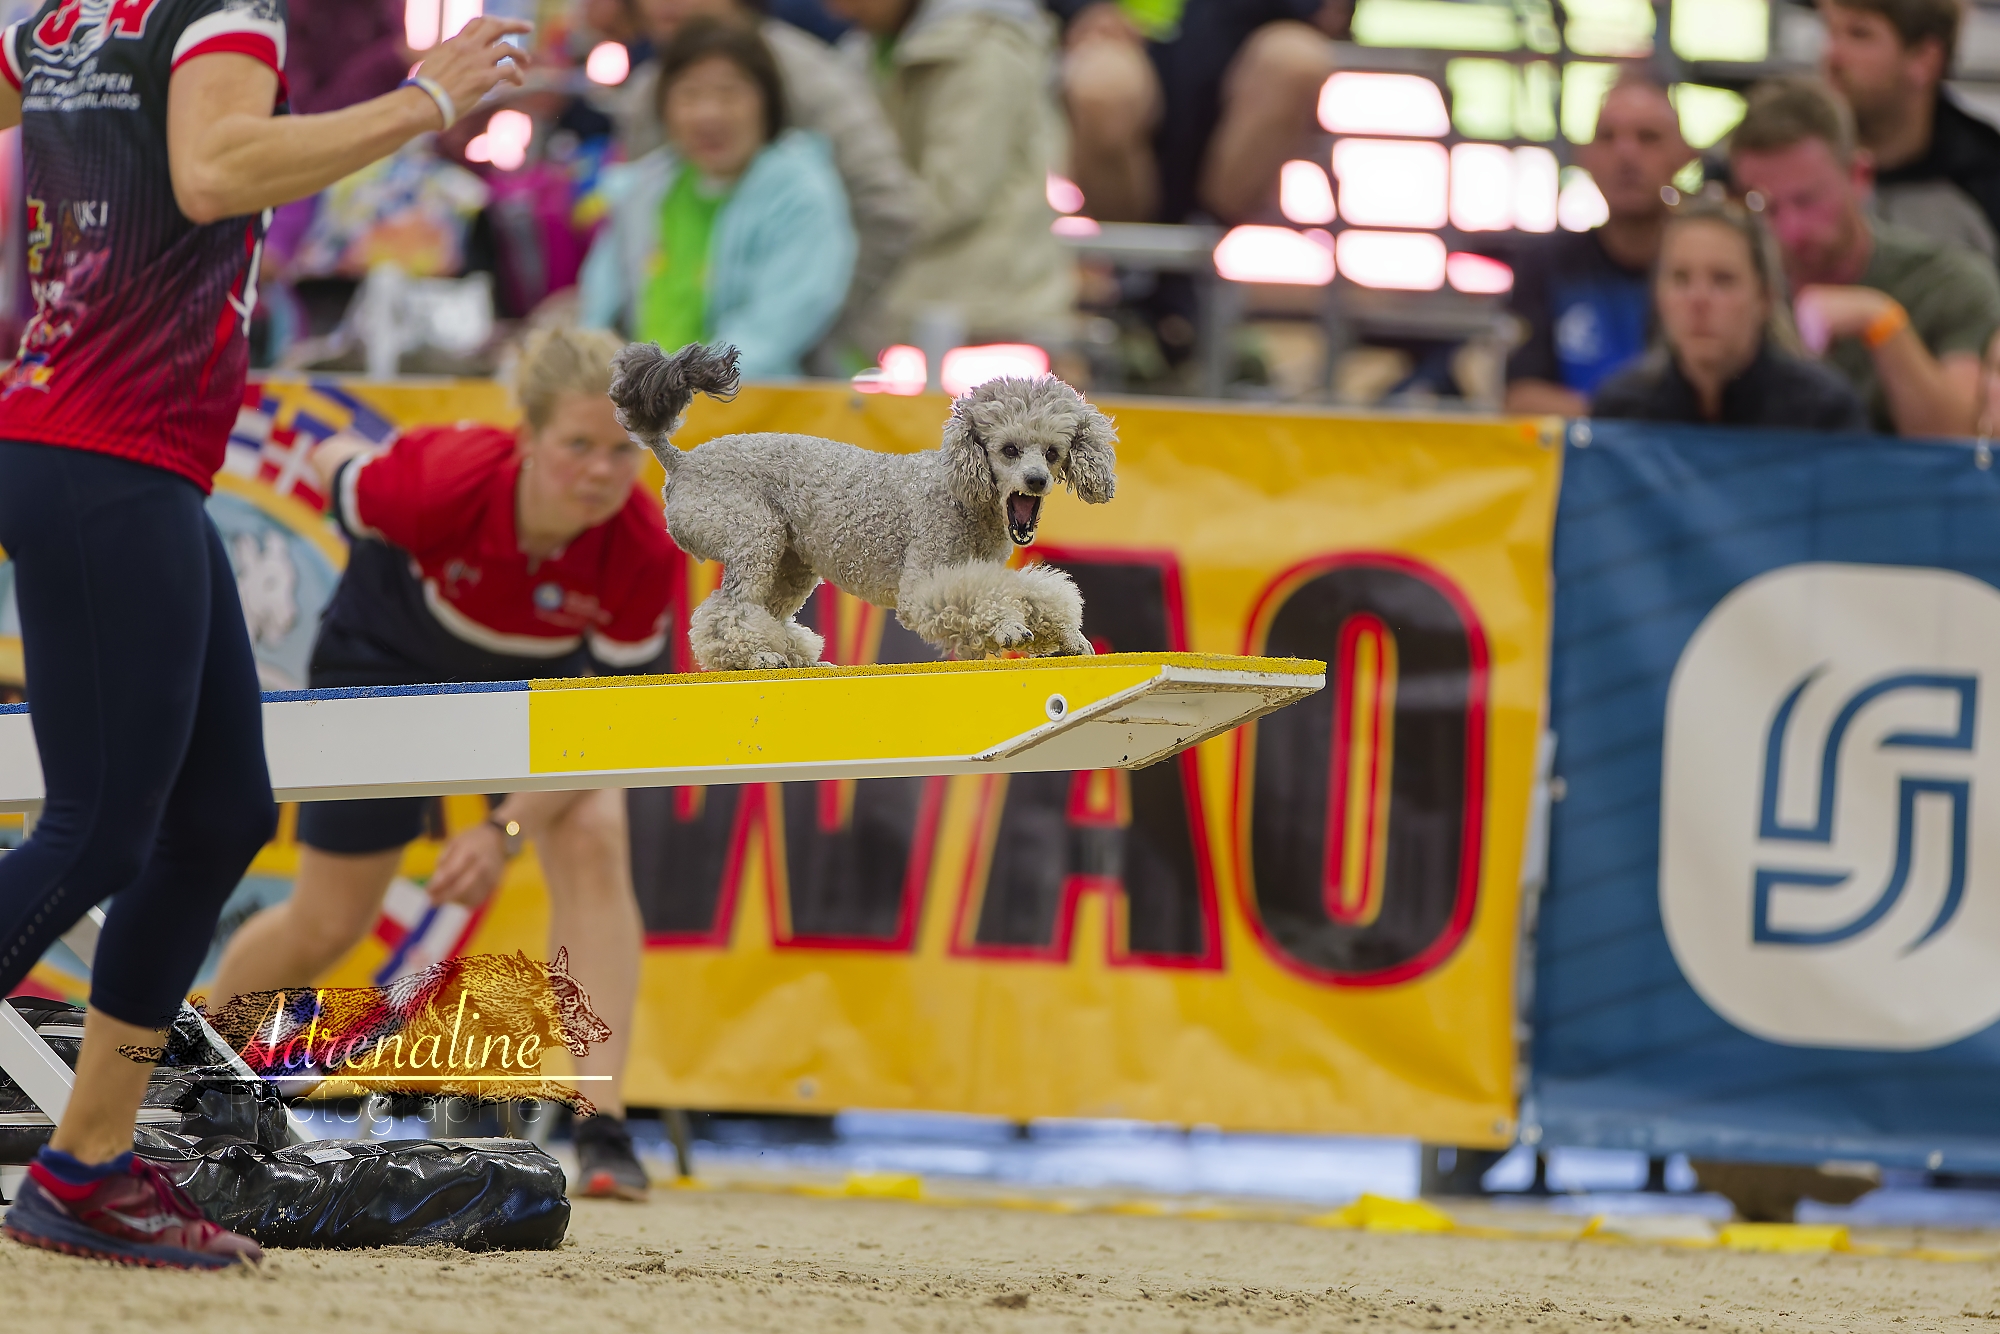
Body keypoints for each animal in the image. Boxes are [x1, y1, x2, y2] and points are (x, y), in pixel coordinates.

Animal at [607, 342, 1118, 671]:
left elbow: (1032, 591)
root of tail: (681, 460)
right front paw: (1009, 627)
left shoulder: (982, 567)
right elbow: (978, 596)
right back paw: (759, 655)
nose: (1036, 481)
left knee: (762, 611)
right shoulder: (924, 582)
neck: (959, 492)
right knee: (725, 610)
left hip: (790, 564)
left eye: (1052, 452)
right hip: (751, 534)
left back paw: (789, 654)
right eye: (1009, 450)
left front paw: (1065, 637)